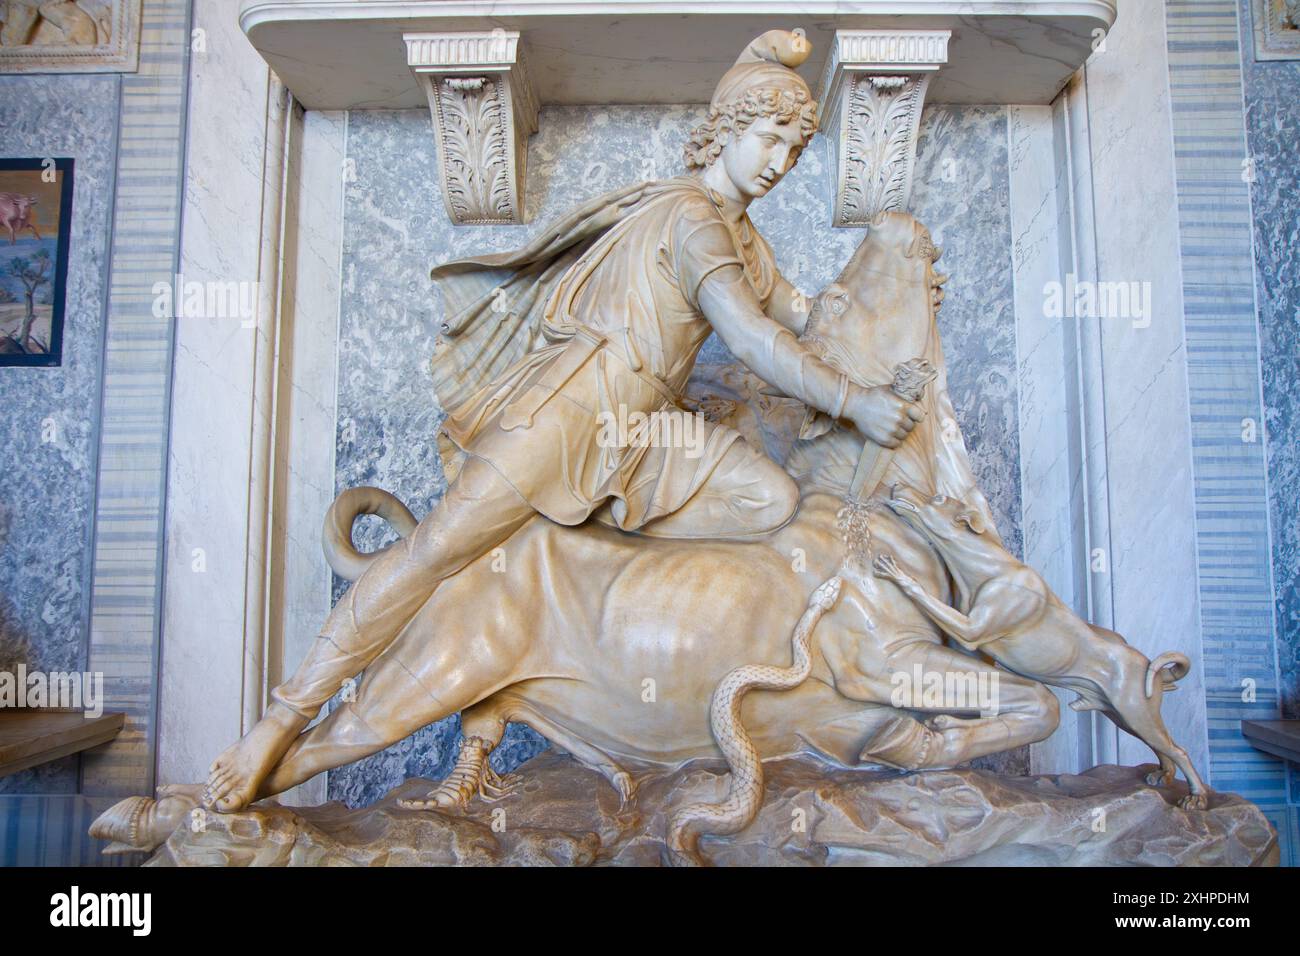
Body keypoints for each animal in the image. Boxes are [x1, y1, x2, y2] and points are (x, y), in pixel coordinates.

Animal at [873, 486, 1206, 806]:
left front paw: (898, 575)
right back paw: (1162, 775)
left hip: (1136, 711)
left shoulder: (970, 630)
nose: (897, 485)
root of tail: (1151, 667)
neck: (986, 568)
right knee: (1161, 747)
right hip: (1121, 715)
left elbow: (926, 597)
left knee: (1177, 749)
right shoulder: (973, 647)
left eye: (939, 497)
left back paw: (1197, 796)